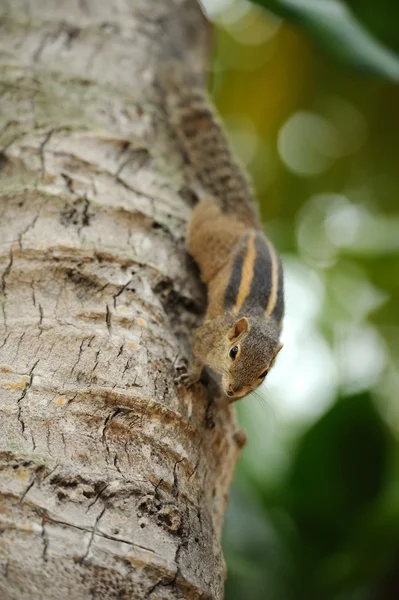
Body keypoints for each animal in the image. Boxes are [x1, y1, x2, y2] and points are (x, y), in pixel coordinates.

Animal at [159, 61, 284, 400]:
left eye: (265, 373)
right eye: (233, 352)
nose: (233, 391)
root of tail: (249, 225)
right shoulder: (206, 334)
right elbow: (195, 352)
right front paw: (191, 376)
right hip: (207, 233)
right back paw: (198, 189)